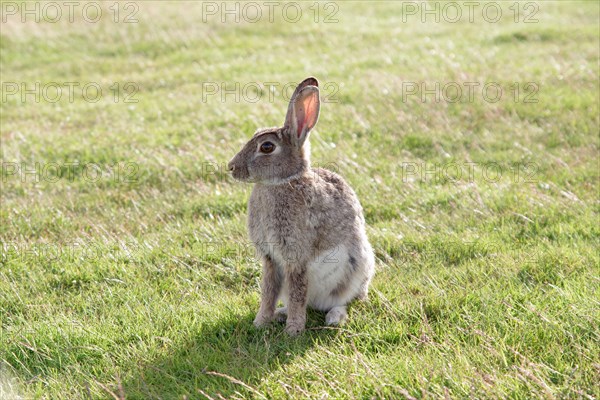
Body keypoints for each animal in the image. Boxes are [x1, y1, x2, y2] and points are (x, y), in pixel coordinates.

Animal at [230, 76, 376, 336]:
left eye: (266, 147)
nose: (231, 167)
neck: (282, 182)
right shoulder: (271, 258)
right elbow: (268, 291)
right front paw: (261, 322)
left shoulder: (296, 257)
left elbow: (297, 292)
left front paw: (294, 331)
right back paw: (281, 313)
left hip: (357, 268)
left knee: (343, 299)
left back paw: (334, 317)